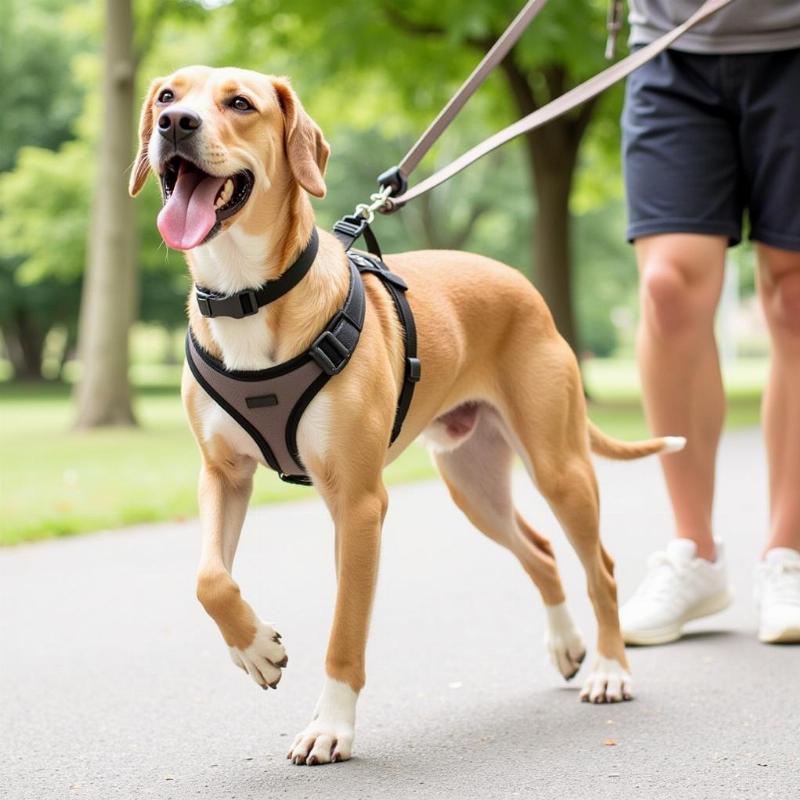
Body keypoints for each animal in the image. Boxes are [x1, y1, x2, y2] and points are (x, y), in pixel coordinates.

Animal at [133, 65, 688, 764]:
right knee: (538, 551)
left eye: (239, 103)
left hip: (559, 466)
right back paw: (566, 646)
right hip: (472, 483)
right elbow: (209, 578)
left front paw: (330, 727)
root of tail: (527, 290)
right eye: (167, 96)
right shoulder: (223, 476)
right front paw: (255, 649)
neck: (248, 297)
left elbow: (345, 630)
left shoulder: (359, 504)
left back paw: (612, 671)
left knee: (601, 568)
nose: (174, 125)